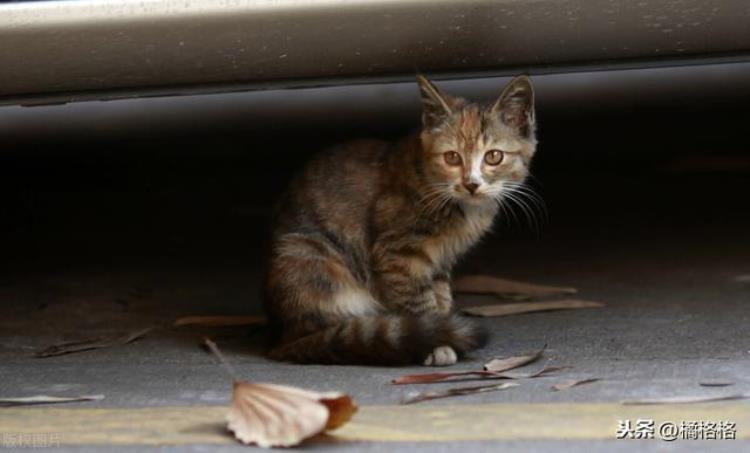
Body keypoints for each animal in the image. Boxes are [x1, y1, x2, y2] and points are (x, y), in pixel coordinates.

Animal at [268, 73, 536, 364]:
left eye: (494, 156)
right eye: (452, 157)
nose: (471, 184)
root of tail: (283, 338)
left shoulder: (440, 260)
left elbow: (440, 295)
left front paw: (441, 328)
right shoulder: (397, 254)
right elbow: (416, 299)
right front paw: (435, 343)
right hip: (309, 255)